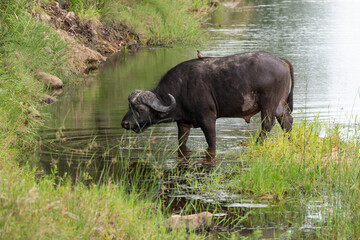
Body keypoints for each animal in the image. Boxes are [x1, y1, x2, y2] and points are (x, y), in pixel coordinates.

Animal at [121, 51, 292, 154]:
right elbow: (181, 143)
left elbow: (211, 142)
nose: (124, 123)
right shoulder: (183, 124)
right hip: (279, 105)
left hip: (268, 104)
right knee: (287, 121)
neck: (182, 88)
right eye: (130, 106)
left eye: (140, 109)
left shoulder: (208, 119)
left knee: (267, 125)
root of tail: (280, 60)